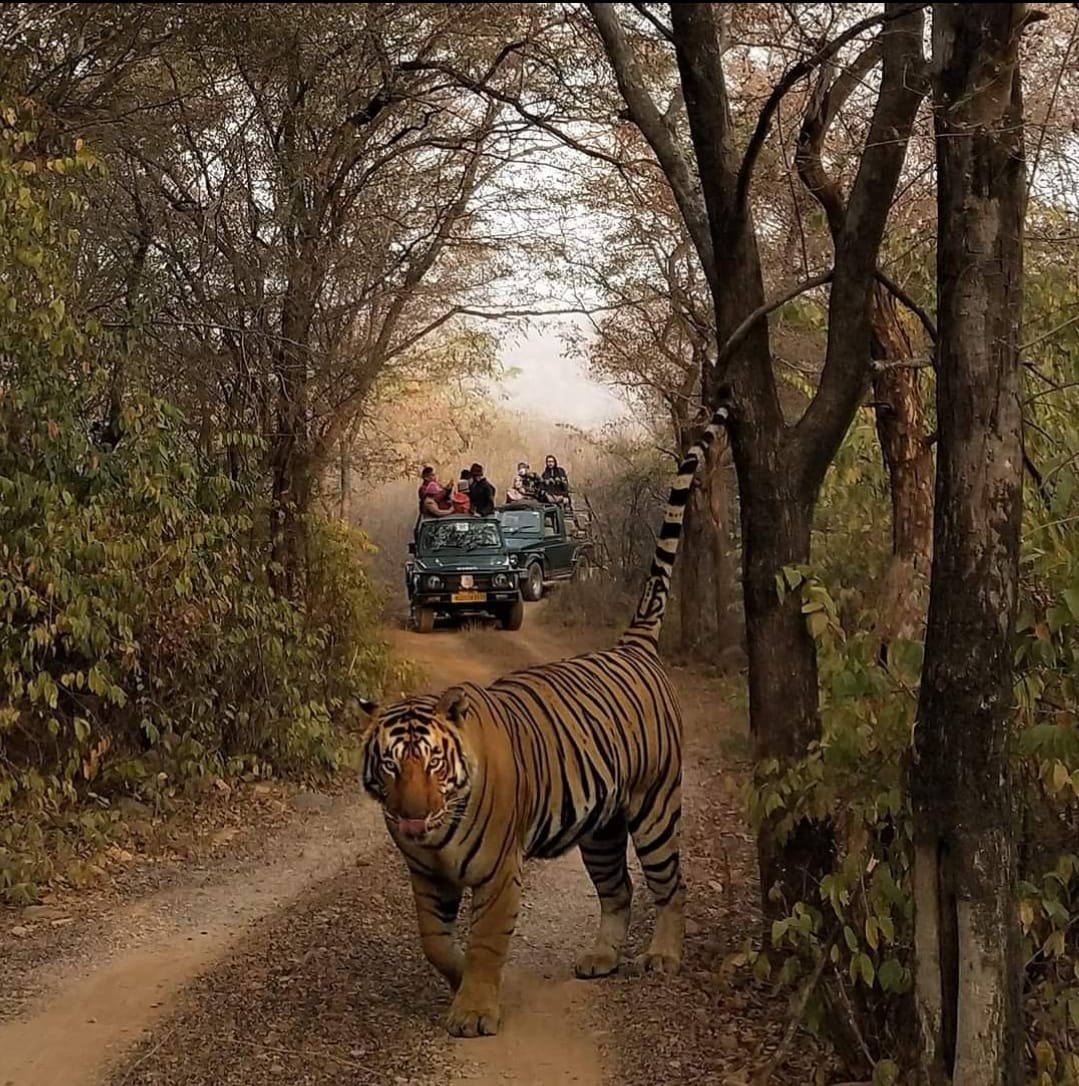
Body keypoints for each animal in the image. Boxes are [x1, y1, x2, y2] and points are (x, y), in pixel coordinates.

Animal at [357, 406, 730, 1038]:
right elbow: (435, 942)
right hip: (600, 828)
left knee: (670, 883)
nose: (411, 818)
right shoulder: (425, 878)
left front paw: (474, 1010)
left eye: (433, 762)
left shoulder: (497, 872)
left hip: (656, 806)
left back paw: (663, 956)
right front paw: (459, 982)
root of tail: (631, 646)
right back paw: (601, 957)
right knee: (618, 888)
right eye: (389, 764)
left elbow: (485, 940)